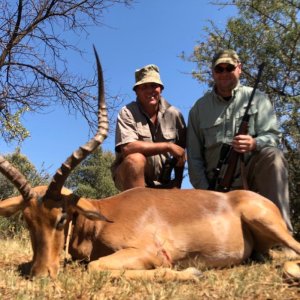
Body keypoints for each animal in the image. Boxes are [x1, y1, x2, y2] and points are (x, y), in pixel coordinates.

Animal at [0, 49, 300, 282]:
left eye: (61, 218)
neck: (101, 219)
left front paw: (192, 273)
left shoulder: (147, 252)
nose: (41, 274)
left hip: (269, 223)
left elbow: (96, 267)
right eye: (27, 220)